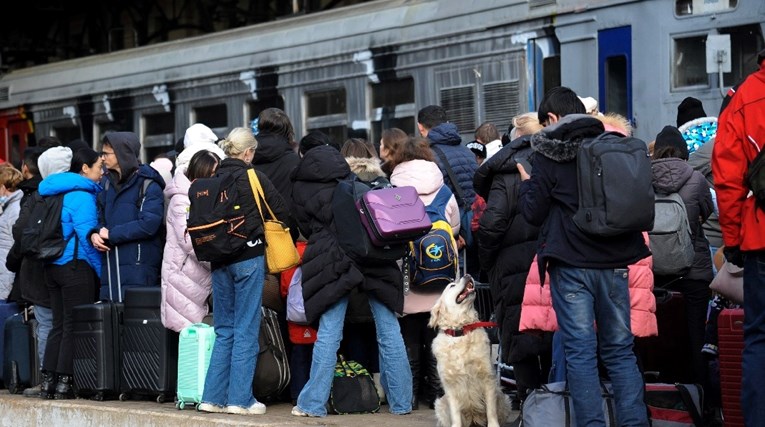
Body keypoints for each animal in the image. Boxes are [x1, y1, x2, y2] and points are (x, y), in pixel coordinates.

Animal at [426, 276, 510, 427]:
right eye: (452, 286)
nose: (468, 275)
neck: (461, 331)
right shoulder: (450, 385)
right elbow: (455, 414)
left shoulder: (487, 378)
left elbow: (491, 410)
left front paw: (493, 425)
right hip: (440, 404)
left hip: (503, 398)